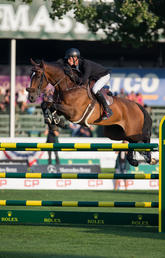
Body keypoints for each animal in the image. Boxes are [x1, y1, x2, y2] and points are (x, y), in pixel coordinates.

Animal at [26, 59, 155, 166]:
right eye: (30, 75)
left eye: (38, 75)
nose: (31, 97)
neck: (68, 87)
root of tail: (137, 106)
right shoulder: (62, 107)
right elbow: (46, 105)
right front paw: (54, 120)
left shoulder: (74, 113)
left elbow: (52, 105)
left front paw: (56, 121)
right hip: (115, 133)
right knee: (132, 141)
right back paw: (133, 159)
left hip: (133, 131)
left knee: (144, 137)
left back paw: (149, 157)